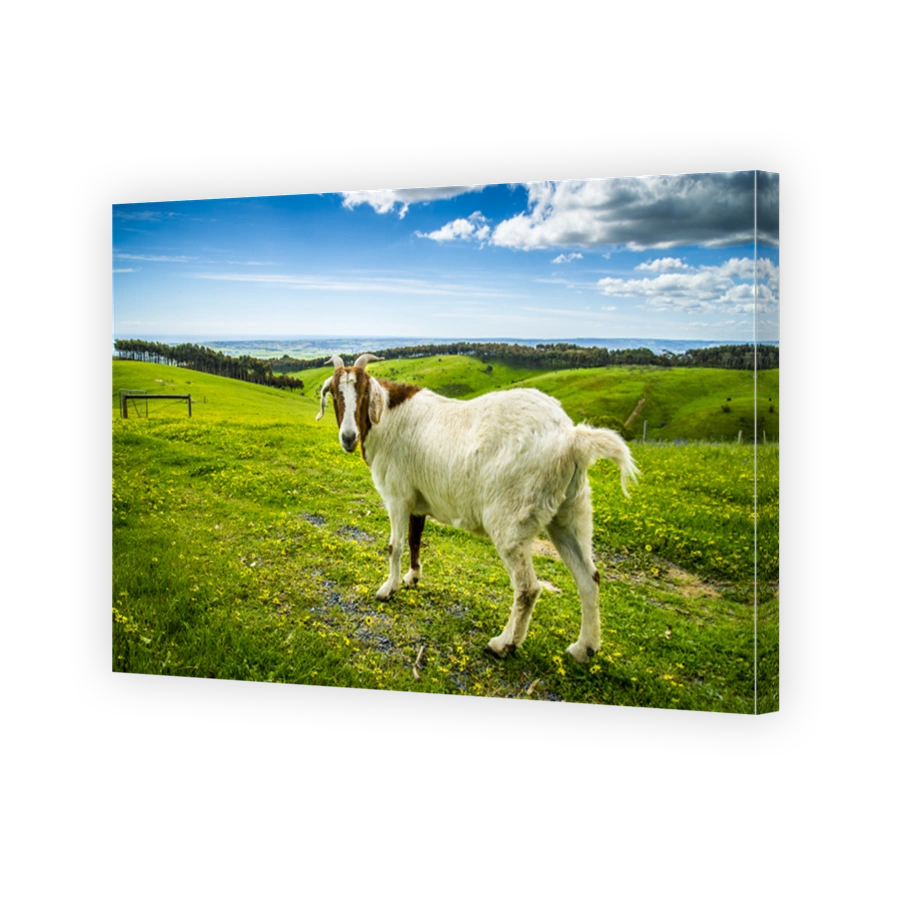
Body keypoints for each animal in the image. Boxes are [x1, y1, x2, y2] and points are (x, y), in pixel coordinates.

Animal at [316, 353, 638, 662]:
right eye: (335, 394)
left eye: (363, 392)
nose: (348, 437)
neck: (389, 417)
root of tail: (571, 439)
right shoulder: (417, 500)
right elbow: (415, 538)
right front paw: (412, 578)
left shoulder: (397, 495)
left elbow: (395, 544)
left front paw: (387, 589)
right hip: (571, 510)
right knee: (589, 578)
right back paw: (584, 648)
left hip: (512, 518)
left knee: (528, 588)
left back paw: (503, 644)